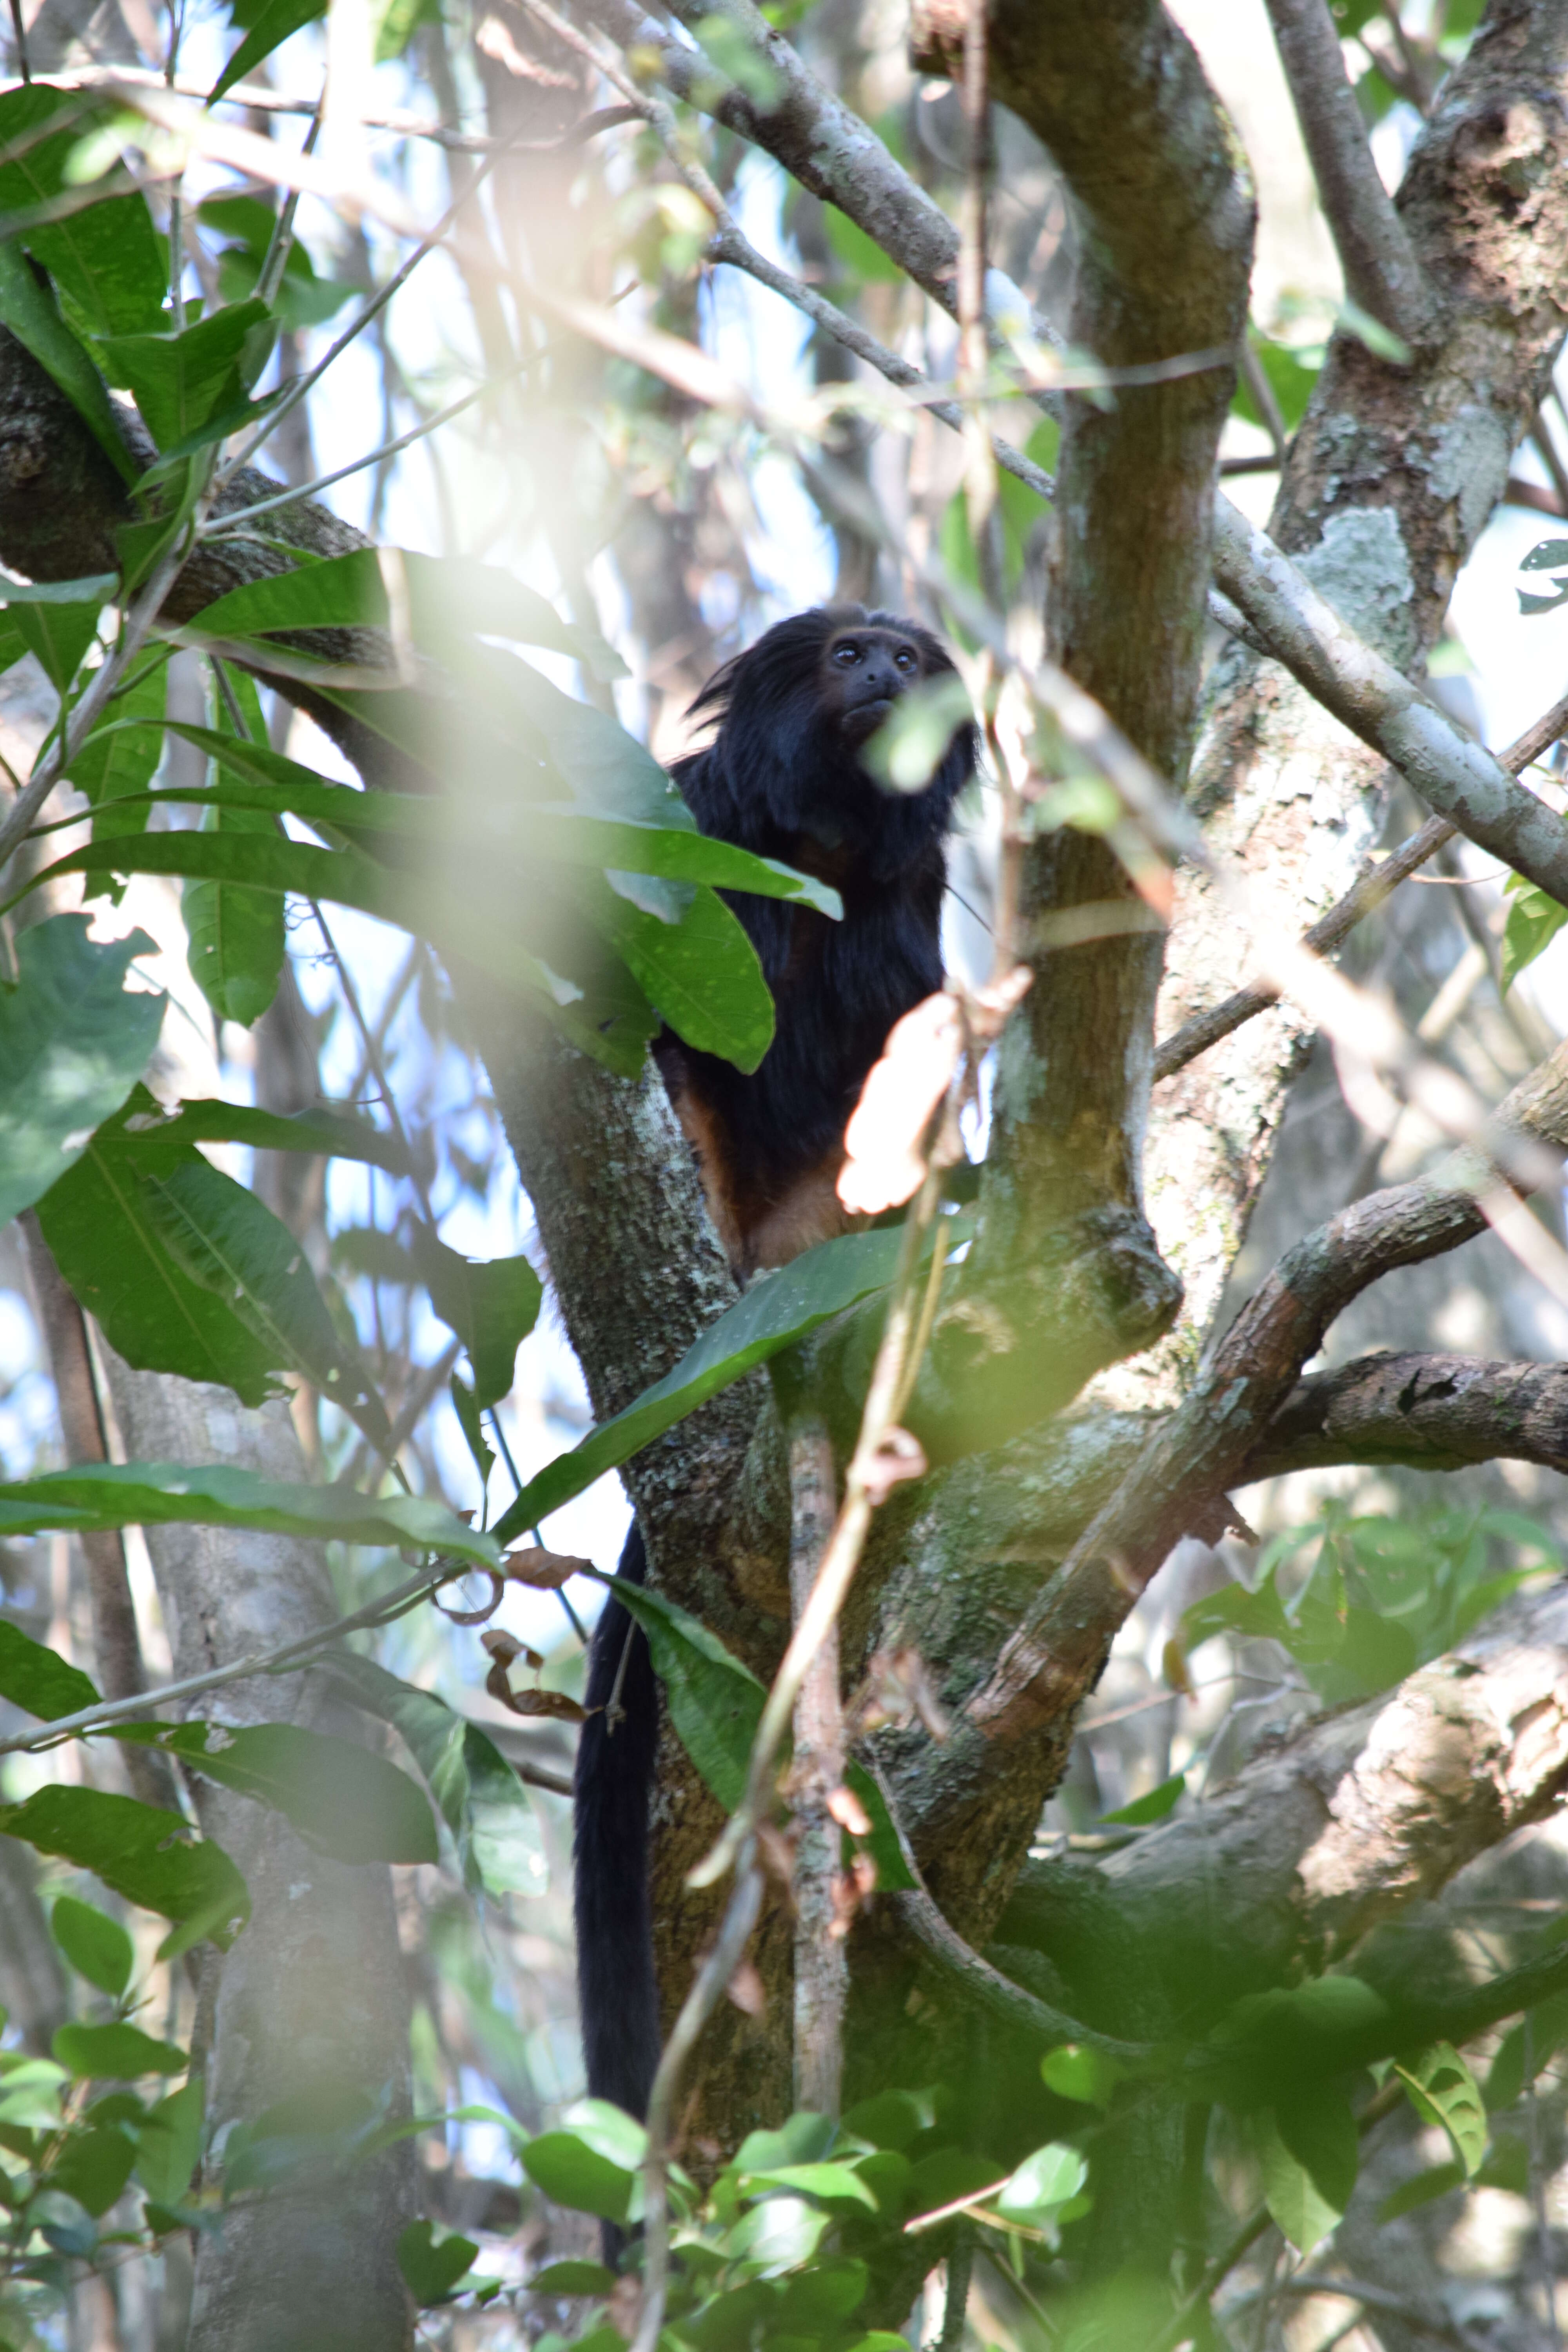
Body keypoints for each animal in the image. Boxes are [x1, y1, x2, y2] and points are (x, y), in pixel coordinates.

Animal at [571, 602, 973, 2154]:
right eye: (849, 651)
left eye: (908, 659)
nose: (879, 675)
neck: (826, 844)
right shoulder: (693, 832)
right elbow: (684, 1013)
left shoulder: (911, 898)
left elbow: (908, 1027)